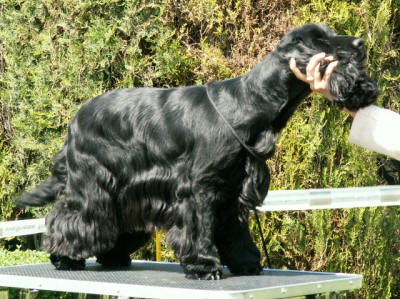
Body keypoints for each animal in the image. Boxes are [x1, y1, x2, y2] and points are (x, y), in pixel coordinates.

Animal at [18, 24, 378, 280]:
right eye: (321, 41)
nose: (361, 43)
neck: (251, 103)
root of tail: (75, 121)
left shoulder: (232, 190)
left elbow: (235, 231)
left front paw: (247, 264)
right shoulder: (200, 188)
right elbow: (200, 226)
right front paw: (205, 266)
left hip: (128, 191)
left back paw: (114, 257)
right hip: (93, 183)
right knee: (68, 216)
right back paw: (65, 257)